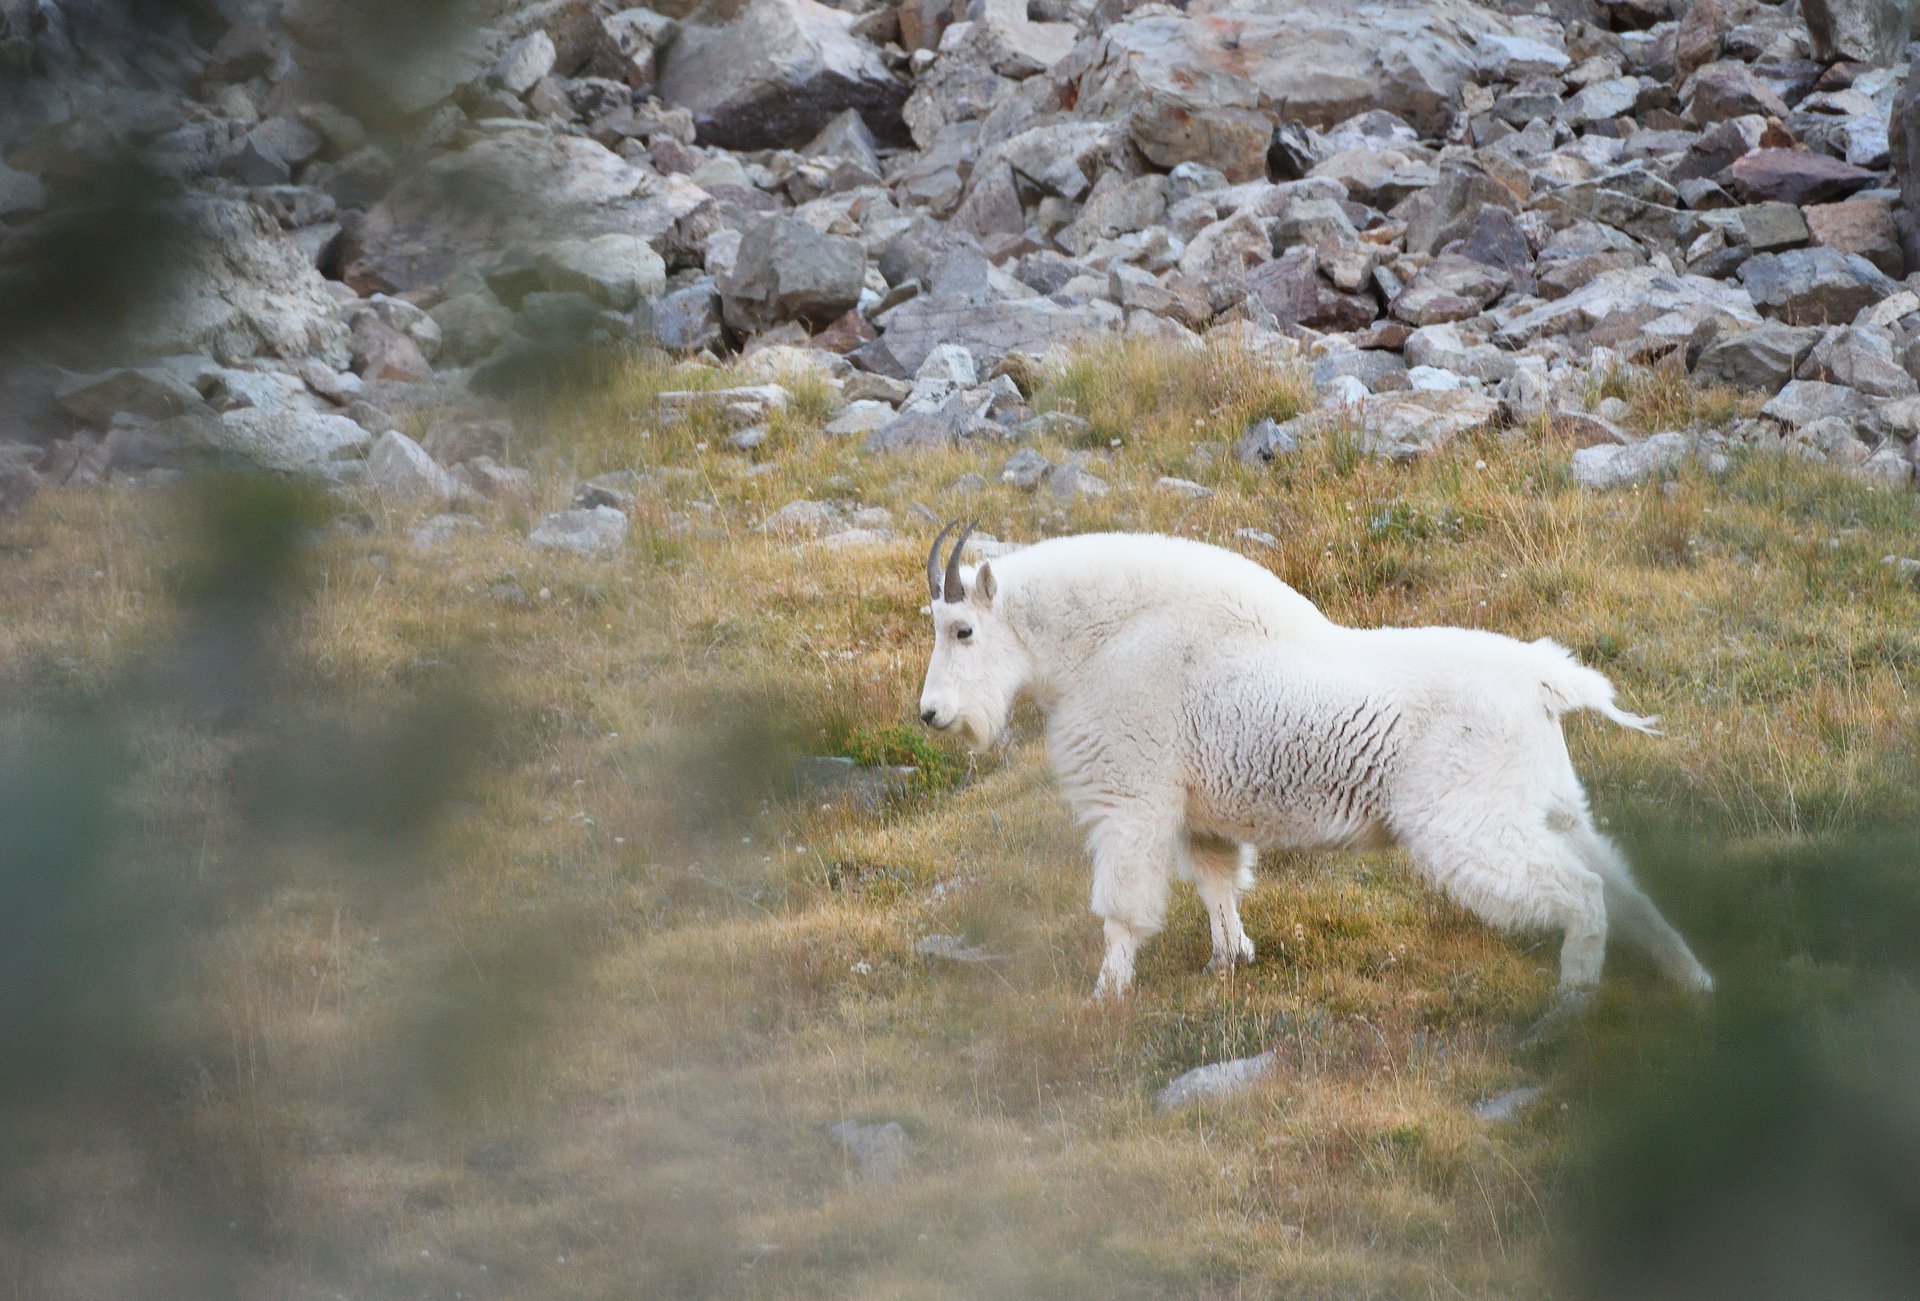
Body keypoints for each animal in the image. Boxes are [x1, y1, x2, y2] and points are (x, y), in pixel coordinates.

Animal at [916, 524, 1712, 1018]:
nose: (929, 714)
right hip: (1550, 803)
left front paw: (1106, 995)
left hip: (1468, 822)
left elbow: (1122, 907)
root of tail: (1546, 681)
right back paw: (1693, 981)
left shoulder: (1131, 800)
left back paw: (1572, 1002)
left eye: (963, 629)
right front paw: (1228, 960)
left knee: (1581, 892)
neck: (1104, 640)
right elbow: (1217, 885)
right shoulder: (1198, 812)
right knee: (1622, 883)